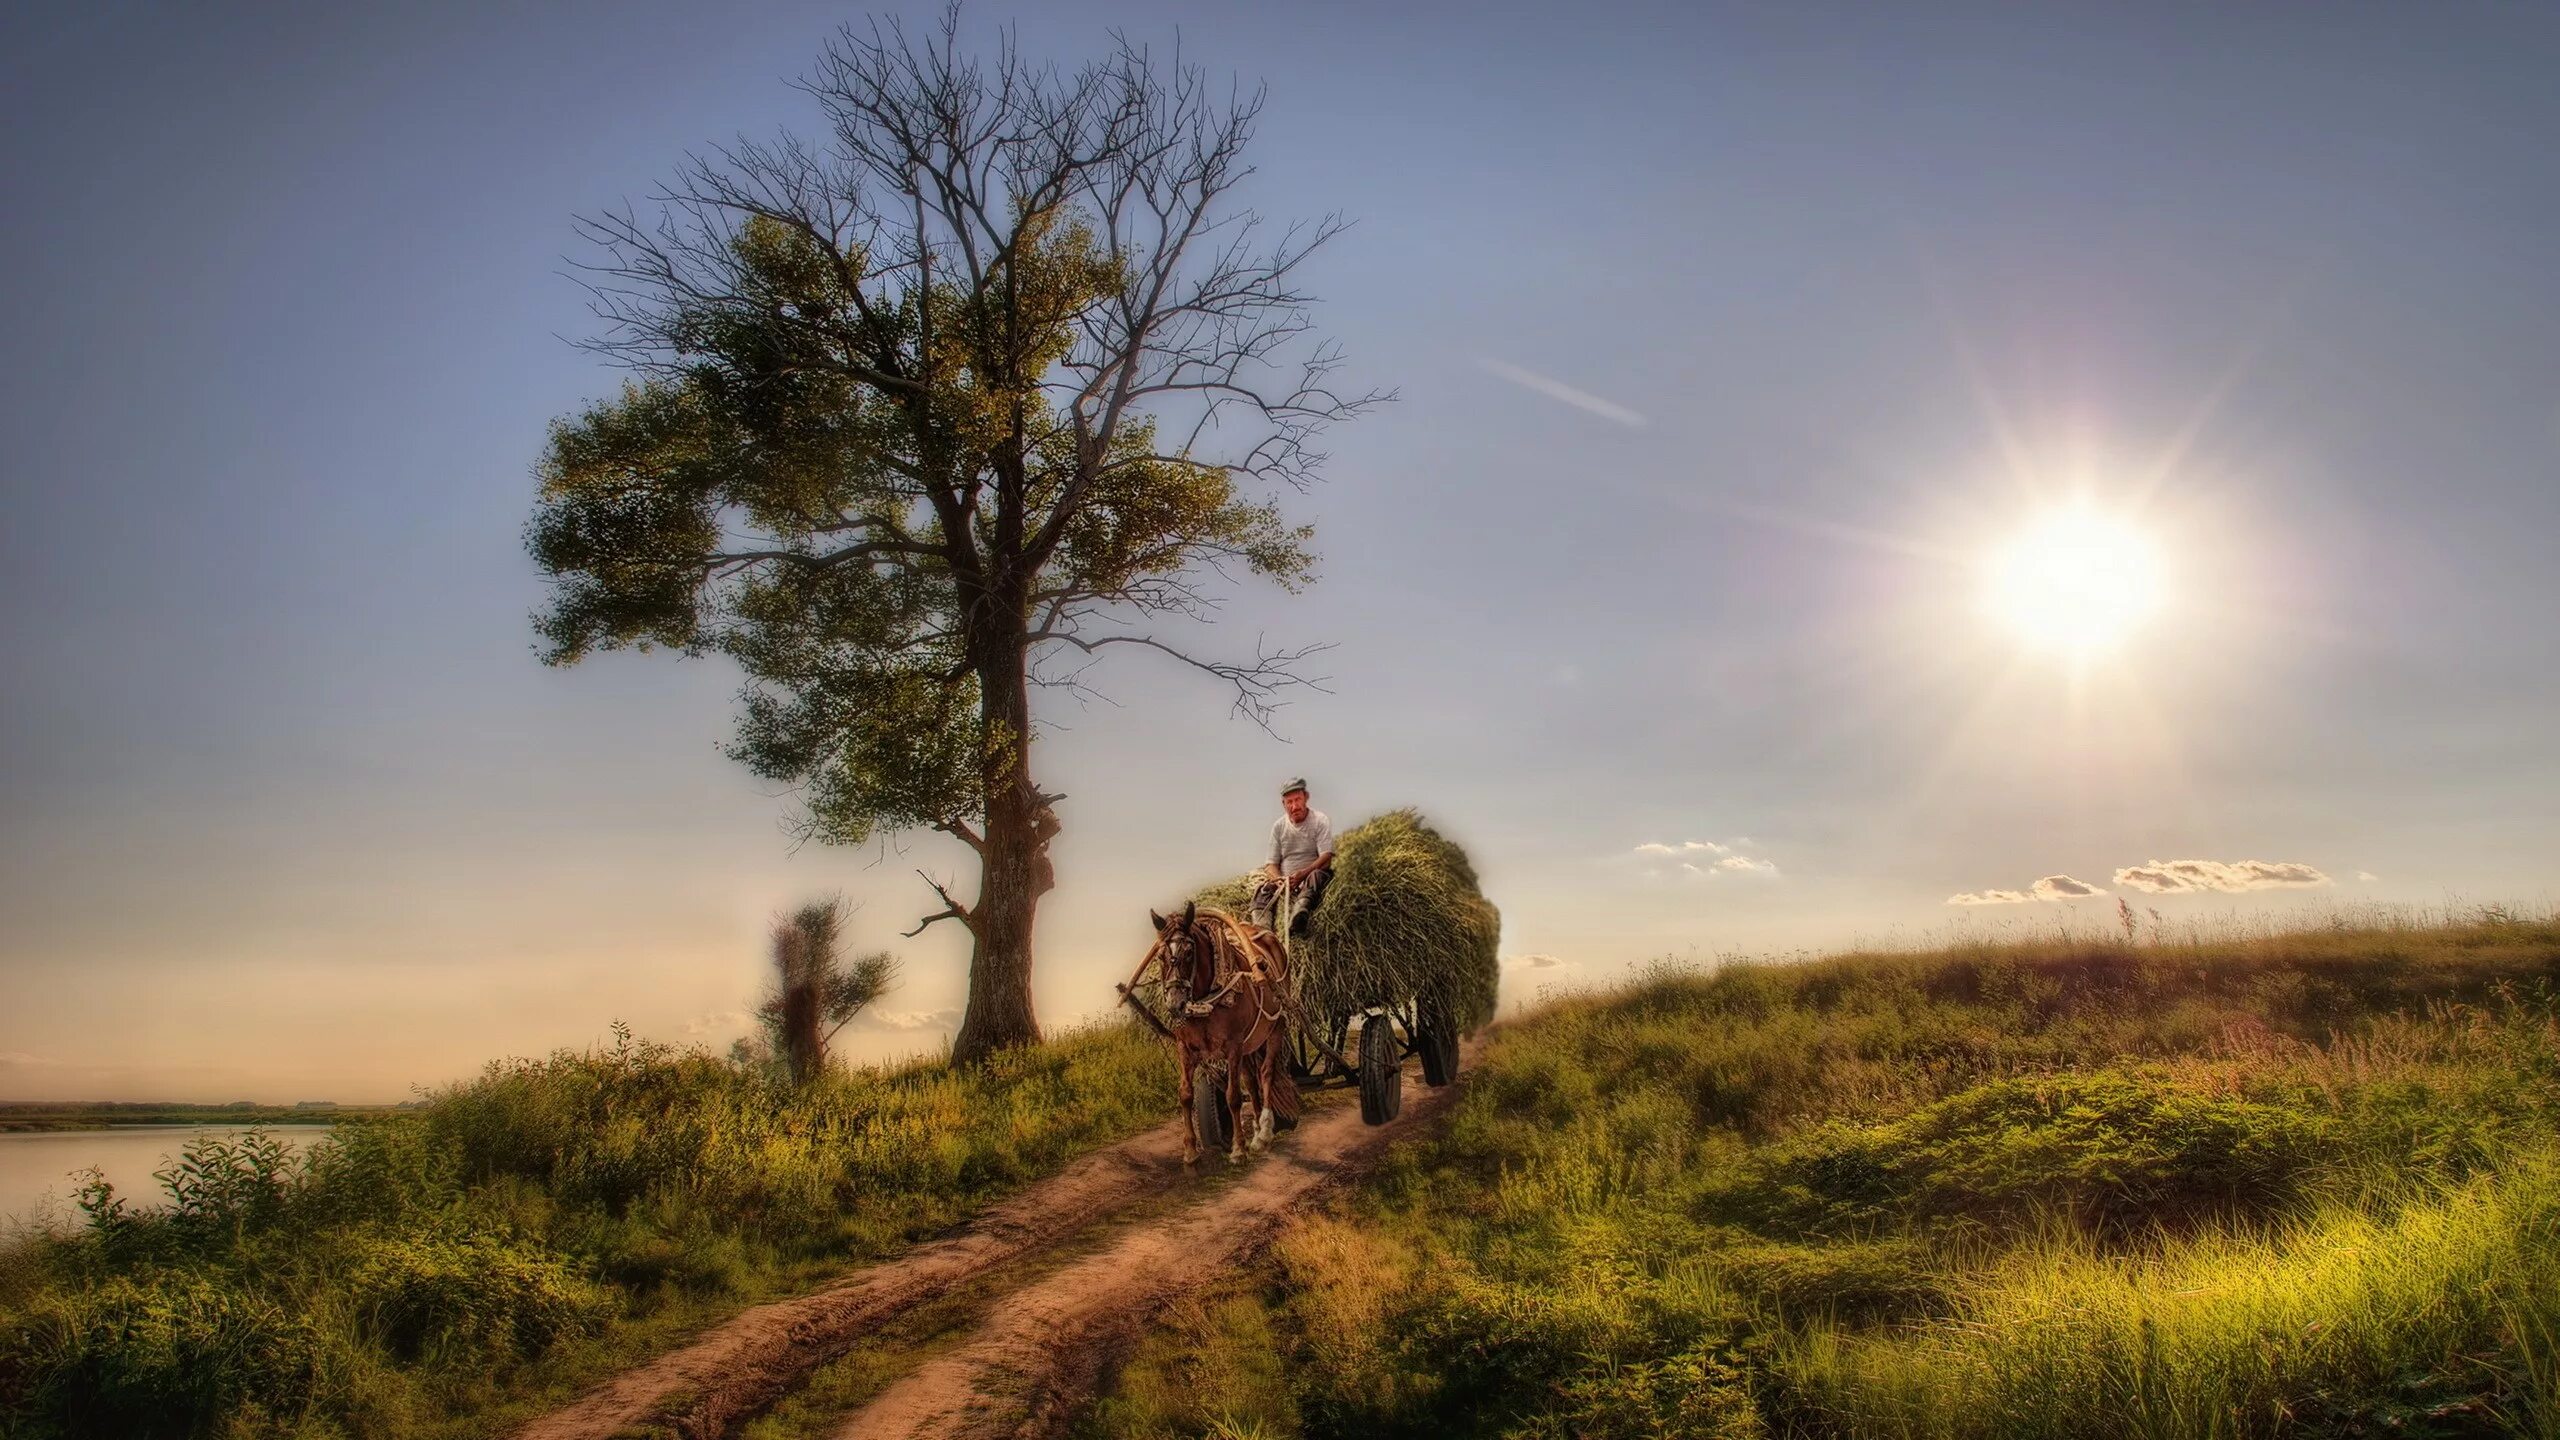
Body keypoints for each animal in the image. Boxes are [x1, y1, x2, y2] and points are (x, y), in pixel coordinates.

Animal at [1141, 901, 1300, 1158]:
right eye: (1160, 956)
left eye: (1189, 952)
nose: (1174, 1004)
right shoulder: (1185, 1048)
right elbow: (1185, 1094)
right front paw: (1190, 1150)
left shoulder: (1233, 1046)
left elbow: (1233, 1096)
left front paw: (1238, 1148)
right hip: (1249, 1044)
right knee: (1251, 1081)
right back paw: (1257, 1128)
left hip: (1275, 1026)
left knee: (1265, 1072)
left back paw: (1264, 1130)